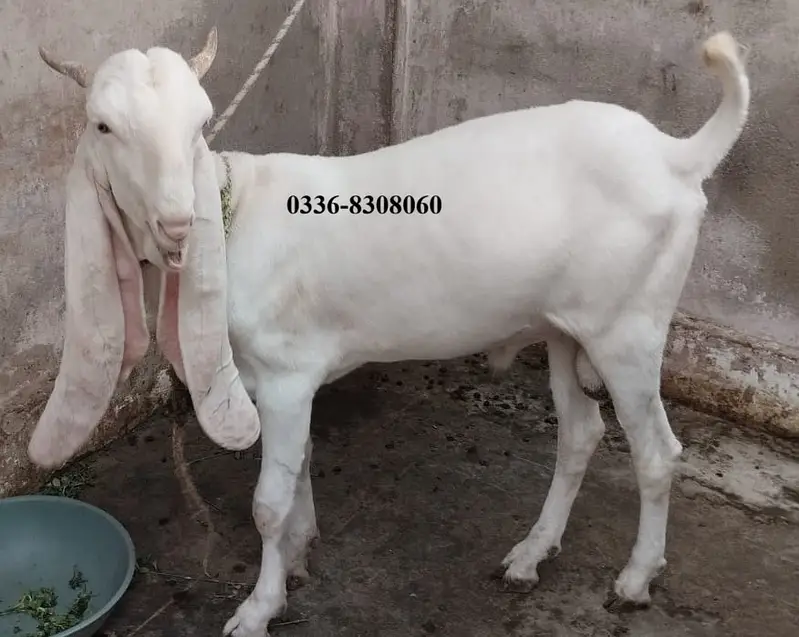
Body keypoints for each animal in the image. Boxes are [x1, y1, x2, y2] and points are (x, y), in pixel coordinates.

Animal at [29, 27, 749, 637]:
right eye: (104, 125)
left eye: (200, 125)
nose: (178, 222)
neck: (241, 215)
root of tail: (675, 155)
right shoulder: (282, 382)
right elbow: (301, 465)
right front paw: (299, 553)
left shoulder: (286, 377)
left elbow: (268, 501)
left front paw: (259, 606)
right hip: (566, 325)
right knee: (580, 434)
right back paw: (529, 554)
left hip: (629, 326)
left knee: (656, 451)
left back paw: (633, 578)